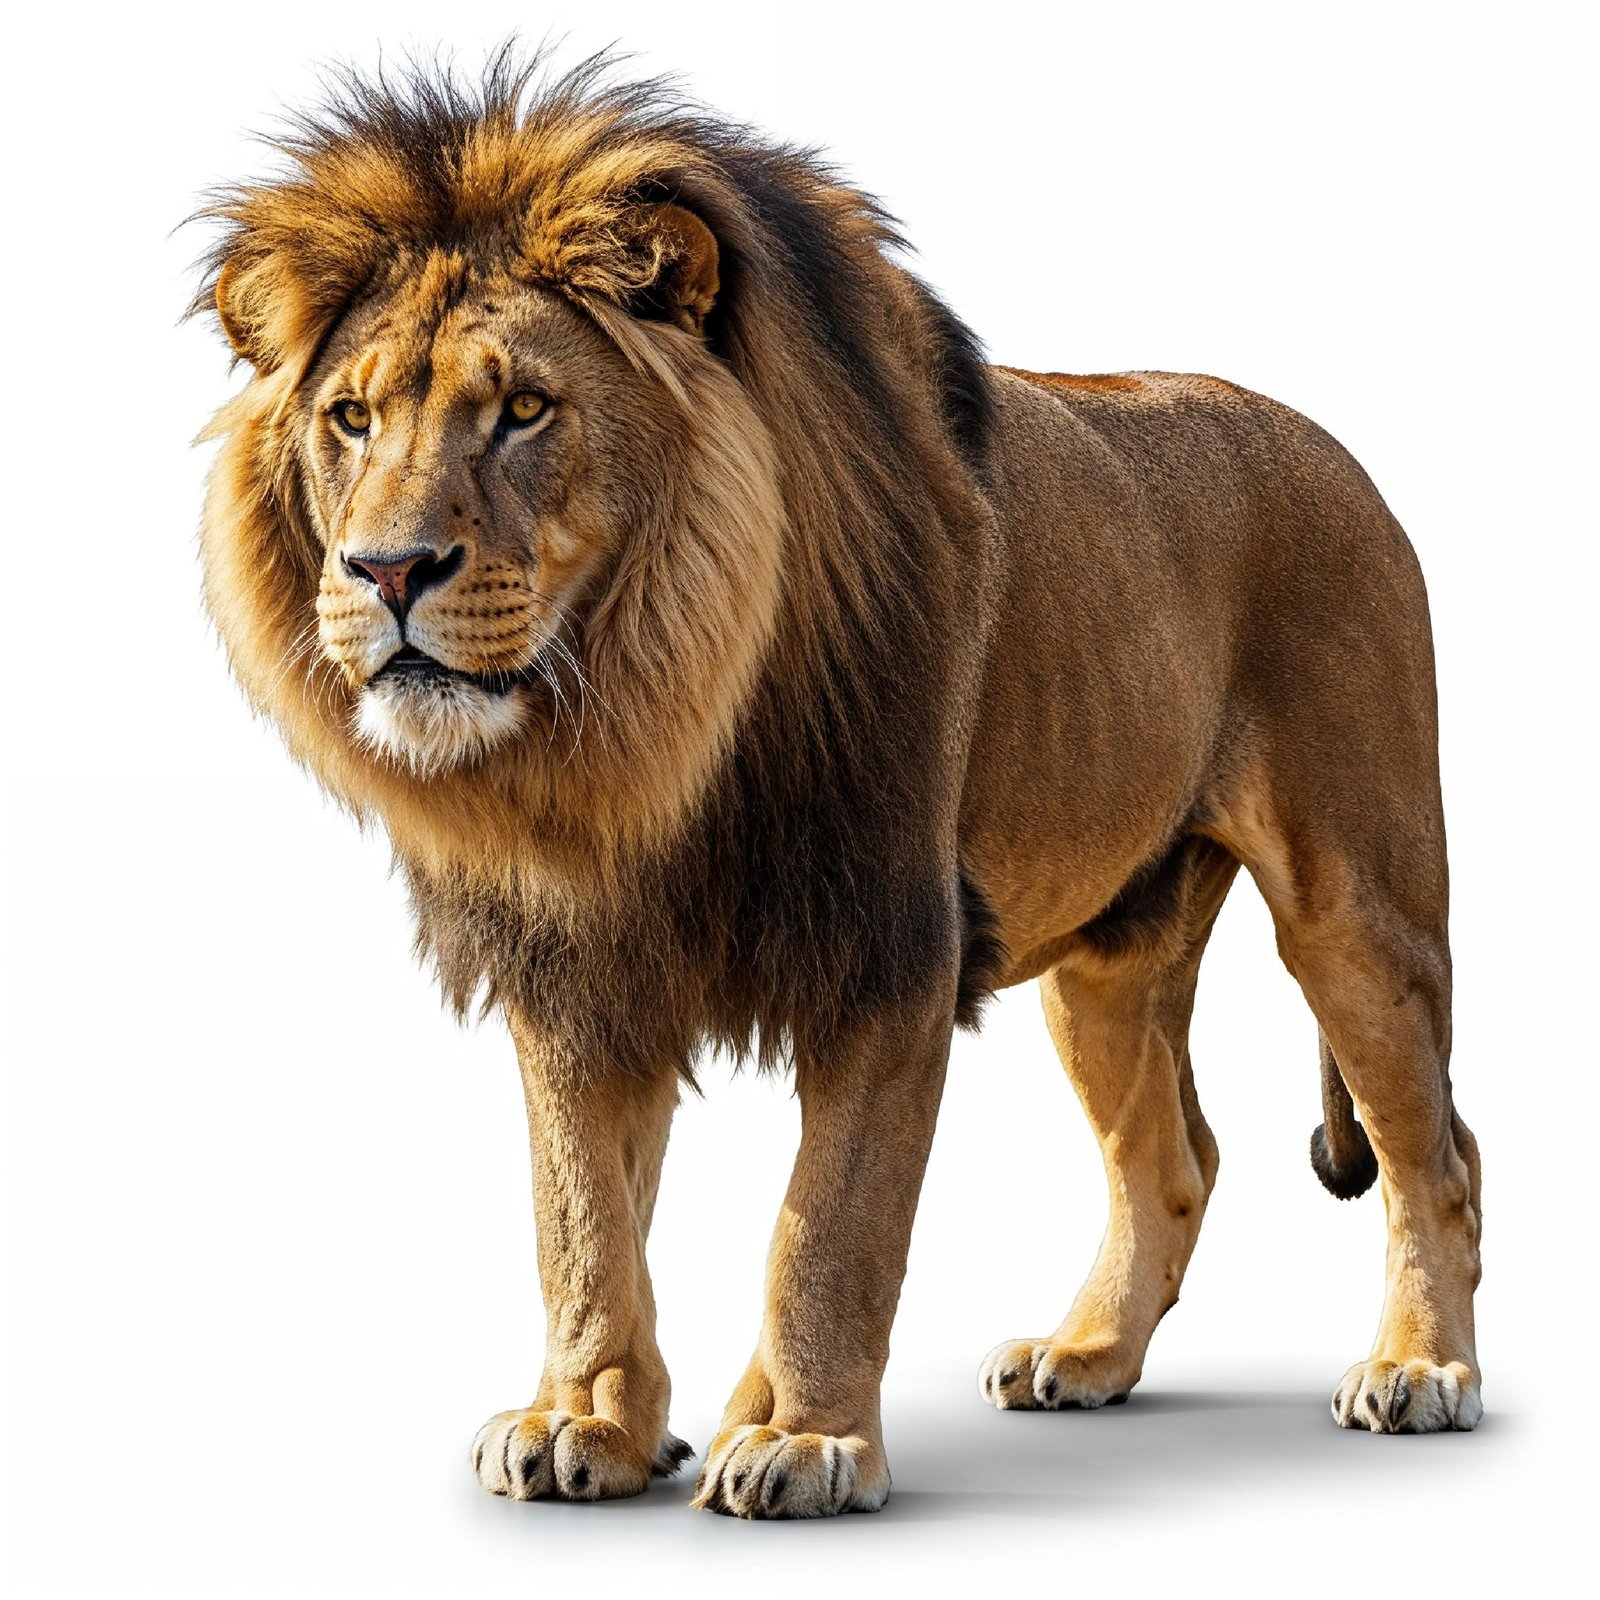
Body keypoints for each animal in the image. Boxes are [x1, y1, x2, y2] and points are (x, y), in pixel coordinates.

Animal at [193, 50, 1483, 1518]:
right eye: (350, 419)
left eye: (524, 409)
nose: (387, 570)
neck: (635, 728)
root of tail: (1325, 443)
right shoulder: (575, 962)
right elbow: (578, 1217)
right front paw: (586, 1419)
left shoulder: (887, 946)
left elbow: (831, 1227)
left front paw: (802, 1440)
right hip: (1106, 960)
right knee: (1173, 1159)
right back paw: (1086, 1355)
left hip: (1356, 903)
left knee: (1435, 1150)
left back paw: (1422, 1371)